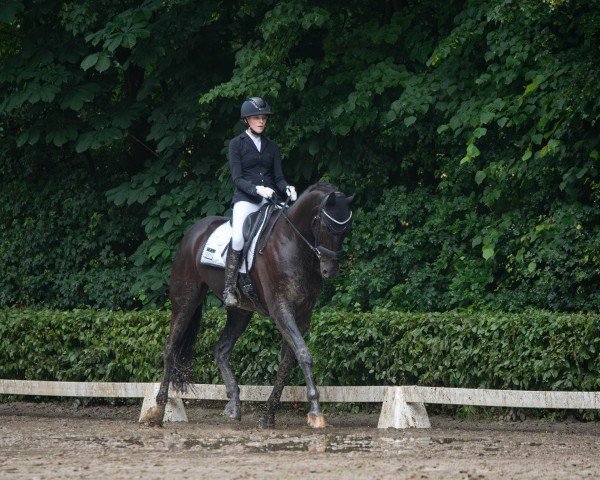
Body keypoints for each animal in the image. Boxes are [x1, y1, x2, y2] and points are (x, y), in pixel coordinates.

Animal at [143, 183, 354, 428]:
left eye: (346, 229)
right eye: (325, 226)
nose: (330, 271)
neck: (293, 243)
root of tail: (194, 231)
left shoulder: (303, 314)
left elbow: (287, 362)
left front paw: (268, 415)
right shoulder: (281, 309)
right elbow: (302, 353)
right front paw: (316, 411)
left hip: (240, 312)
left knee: (221, 350)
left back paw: (234, 404)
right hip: (186, 299)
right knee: (171, 346)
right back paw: (159, 406)